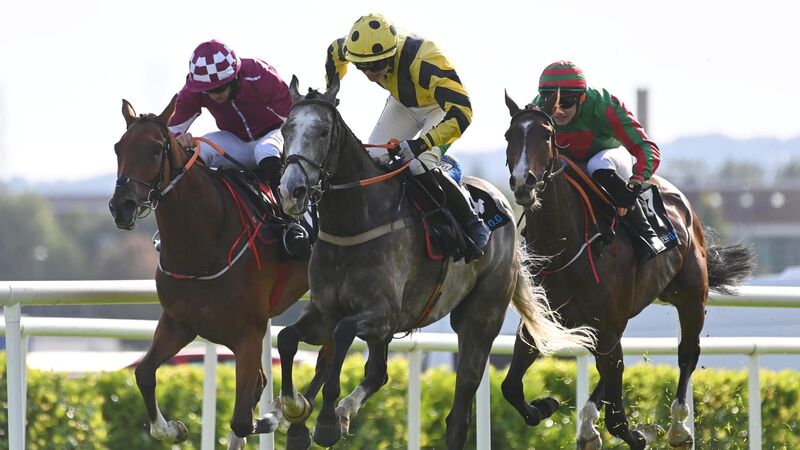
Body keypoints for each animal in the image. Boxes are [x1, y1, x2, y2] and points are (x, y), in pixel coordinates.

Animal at [109, 96, 310, 450]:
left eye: (156, 149)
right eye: (119, 148)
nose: (123, 206)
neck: (202, 245)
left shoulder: (249, 332)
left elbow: (244, 418)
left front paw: (278, 414)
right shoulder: (179, 323)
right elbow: (143, 374)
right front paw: (173, 429)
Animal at [272, 76, 596, 450]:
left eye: (323, 131)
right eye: (286, 128)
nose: (291, 191)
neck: (354, 222)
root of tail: (502, 204)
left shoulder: (383, 314)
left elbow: (341, 336)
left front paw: (325, 421)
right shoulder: (324, 311)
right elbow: (288, 339)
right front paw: (295, 416)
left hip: (481, 317)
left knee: (459, 408)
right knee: (378, 373)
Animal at [500, 92, 756, 449]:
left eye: (547, 136)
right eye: (509, 135)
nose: (524, 183)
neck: (565, 243)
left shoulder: (608, 324)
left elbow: (619, 420)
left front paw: (639, 433)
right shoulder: (541, 321)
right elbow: (510, 386)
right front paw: (545, 405)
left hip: (691, 296)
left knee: (687, 353)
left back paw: (679, 428)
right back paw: (588, 425)